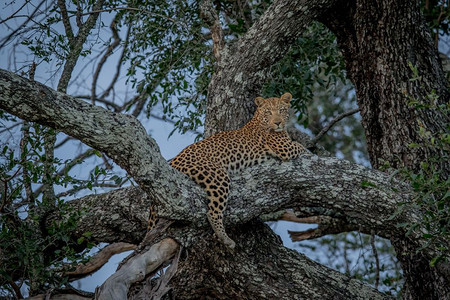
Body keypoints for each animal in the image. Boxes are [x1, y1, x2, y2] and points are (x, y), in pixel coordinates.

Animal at [149, 92, 312, 250]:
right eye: (268, 112)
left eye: (281, 110)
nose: (278, 122)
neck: (259, 120)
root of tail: (174, 161)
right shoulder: (285, 148)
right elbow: (301, 147)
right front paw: (310, 152)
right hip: (218, 176)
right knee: (212, 212)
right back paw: (226, 239)